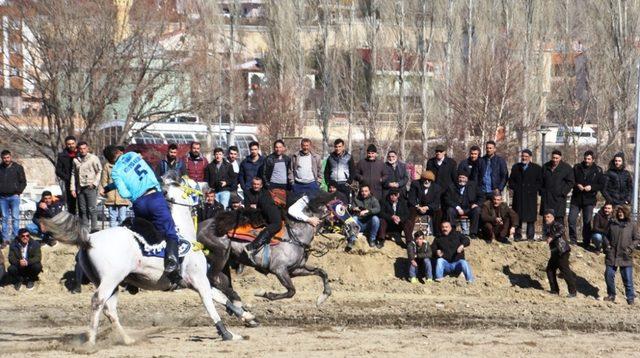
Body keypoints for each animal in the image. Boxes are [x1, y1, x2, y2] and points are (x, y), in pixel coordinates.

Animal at [42, 178, 252, 344]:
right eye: (188, 183)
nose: (208, 189)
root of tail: (90, 239)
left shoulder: (193, 282)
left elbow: (222, 298)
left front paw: (247, 316)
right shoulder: (199, 281)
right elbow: (211, 305)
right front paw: (227, 334)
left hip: (110, 283)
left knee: (110, 310)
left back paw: (127, 339)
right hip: (110, 280)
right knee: (97, 302)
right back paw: (91, 341)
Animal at [198, 193, 332, 308]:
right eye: (325, 209)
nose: (332, 222)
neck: (295, 237)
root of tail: (200, 226)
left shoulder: (294, 269)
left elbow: (322, 272)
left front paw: (323, 297)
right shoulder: (279, 269)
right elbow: (291, 291)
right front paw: (265, 294)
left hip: (223, 259)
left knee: (222, 281)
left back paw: (234, 298)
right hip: (222, 252)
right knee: (212, 277)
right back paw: (236, 298)